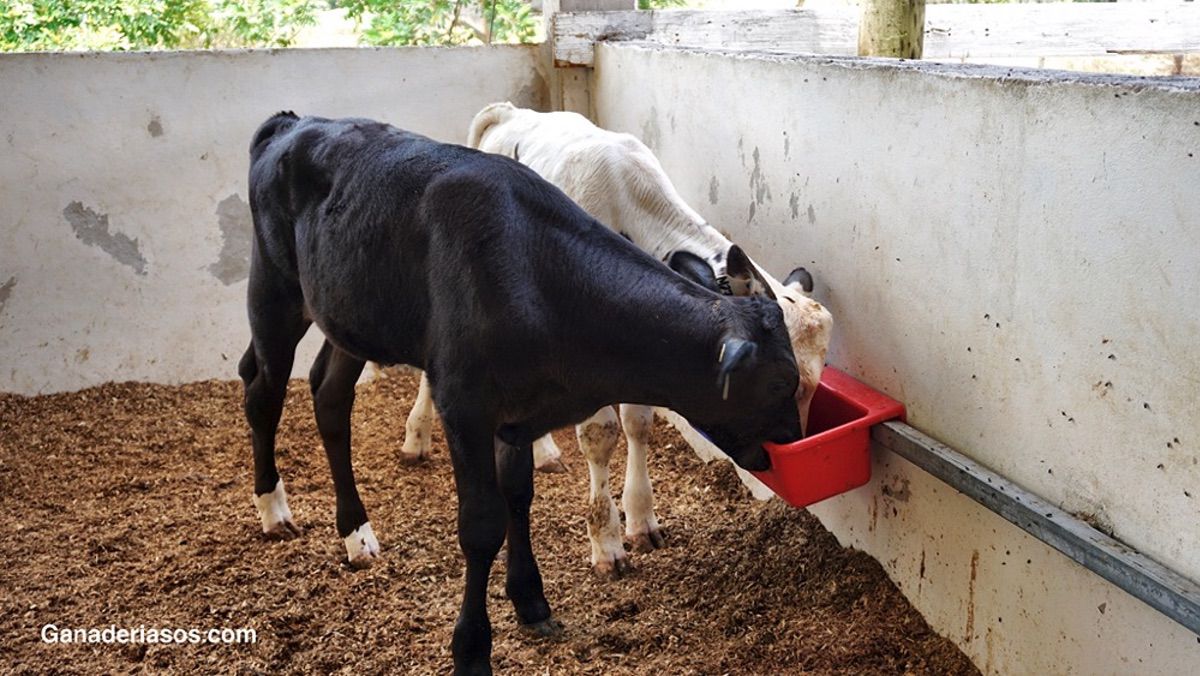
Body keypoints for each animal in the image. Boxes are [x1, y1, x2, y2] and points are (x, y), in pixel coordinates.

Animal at [403, 103, 835, 578]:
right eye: (783, 383)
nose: (792, 443)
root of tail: (508, 112)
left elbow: (637, 423)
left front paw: (642, 519)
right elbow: (600, 433)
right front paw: (606, 542)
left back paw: (543, 451)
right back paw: (417, 438)